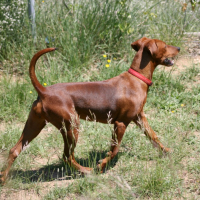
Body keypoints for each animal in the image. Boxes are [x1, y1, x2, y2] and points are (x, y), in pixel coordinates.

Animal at [0, 37, 180, 183]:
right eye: (165, 45)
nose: (178, 48)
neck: (136, 78)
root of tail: (43, 91)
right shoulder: (120, 123)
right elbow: (114, 150)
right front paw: (101, 166)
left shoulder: (140, 118)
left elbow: (154, 137)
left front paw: (167, 151)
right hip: (72, 127)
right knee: (67, 156)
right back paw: (87, 171)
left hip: (35, 125)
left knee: (14, 150)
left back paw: (3, 178)